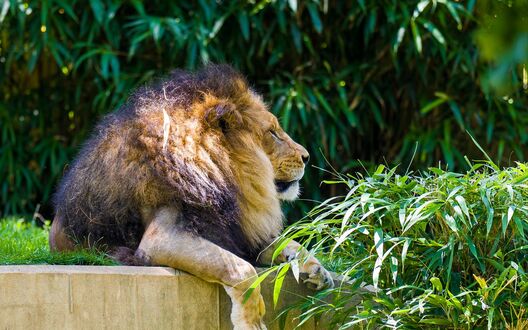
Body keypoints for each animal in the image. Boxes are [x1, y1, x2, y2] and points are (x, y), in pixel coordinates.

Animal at [49, 64, 330, 330]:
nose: (306, 156)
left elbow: (289, 242)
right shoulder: (161, 238)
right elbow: (242, 269)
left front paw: (317, 269)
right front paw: (251, 322)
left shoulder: (240, 233)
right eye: (272, 132)